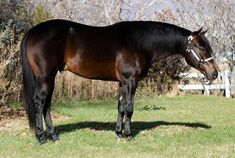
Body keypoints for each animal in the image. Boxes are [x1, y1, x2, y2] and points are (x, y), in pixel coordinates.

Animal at [20, 19, 218, 144]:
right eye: (201, 46)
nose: (215, 73)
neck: (139, 42)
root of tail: (32, 31)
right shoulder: (131, 81)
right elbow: (129, 108)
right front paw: (128, 135)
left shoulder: (122, 82)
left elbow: (120, 107)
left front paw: (118, 133)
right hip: (45, 77)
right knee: (39, 102)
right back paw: (42, 137)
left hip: (51, 77)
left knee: (47, 104)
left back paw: (53, 136)